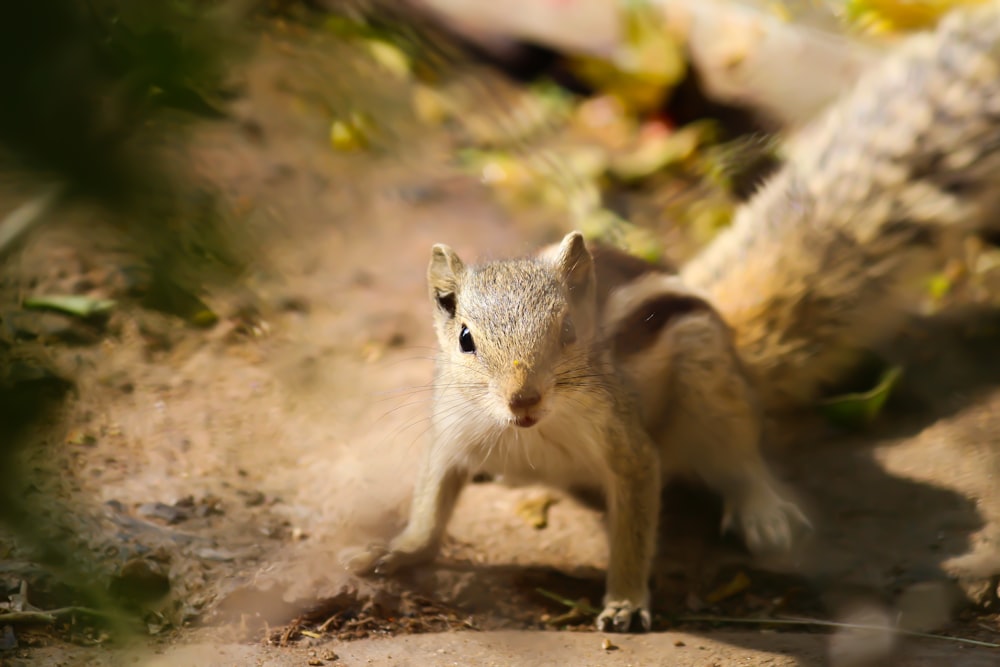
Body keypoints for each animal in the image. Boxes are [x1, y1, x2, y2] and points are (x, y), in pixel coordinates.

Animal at [348, 2, 1000, 636]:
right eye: (464, 338)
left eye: (569, 332)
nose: (523, 401)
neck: (532, 435)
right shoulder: (450, 436)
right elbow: (430, 506)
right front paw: (393, 552)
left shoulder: (631, 451)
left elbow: (635, 533)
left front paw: (625, 603)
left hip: (710, 386)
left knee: (739, 459)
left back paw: (764, 512)